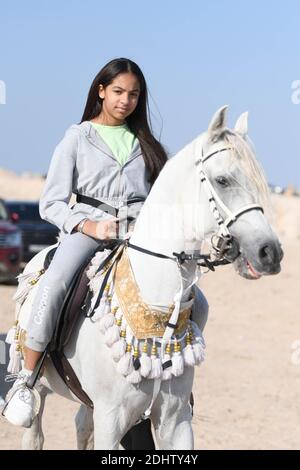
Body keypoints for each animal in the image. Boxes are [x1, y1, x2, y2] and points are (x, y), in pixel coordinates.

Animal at [8, 104, 282, 450]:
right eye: (222, 180)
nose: (270, 252)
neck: (155, 311)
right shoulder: (111, 418)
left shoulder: (175, 420)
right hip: (41, 388)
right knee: (34, 432)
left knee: (81, 425)